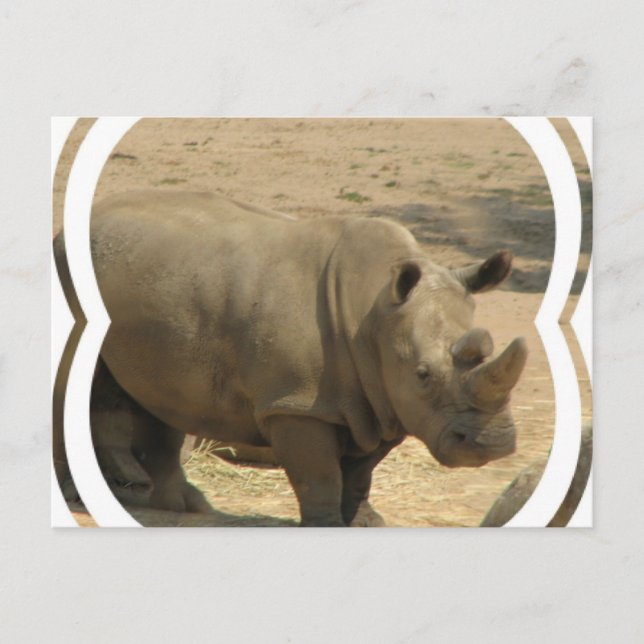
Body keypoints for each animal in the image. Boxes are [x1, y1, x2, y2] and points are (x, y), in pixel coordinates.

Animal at [54, 190, 527, 527]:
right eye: (423, 374)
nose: (494, 444)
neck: (373, 314)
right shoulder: (297, 404)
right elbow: (319, 473)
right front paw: (325, 525)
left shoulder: (382, 401)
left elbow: (361, 473)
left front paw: (366, 522)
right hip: (70, 269)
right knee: (70, 384)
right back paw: (77, 498)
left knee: (158, 396)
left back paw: (185, 507)